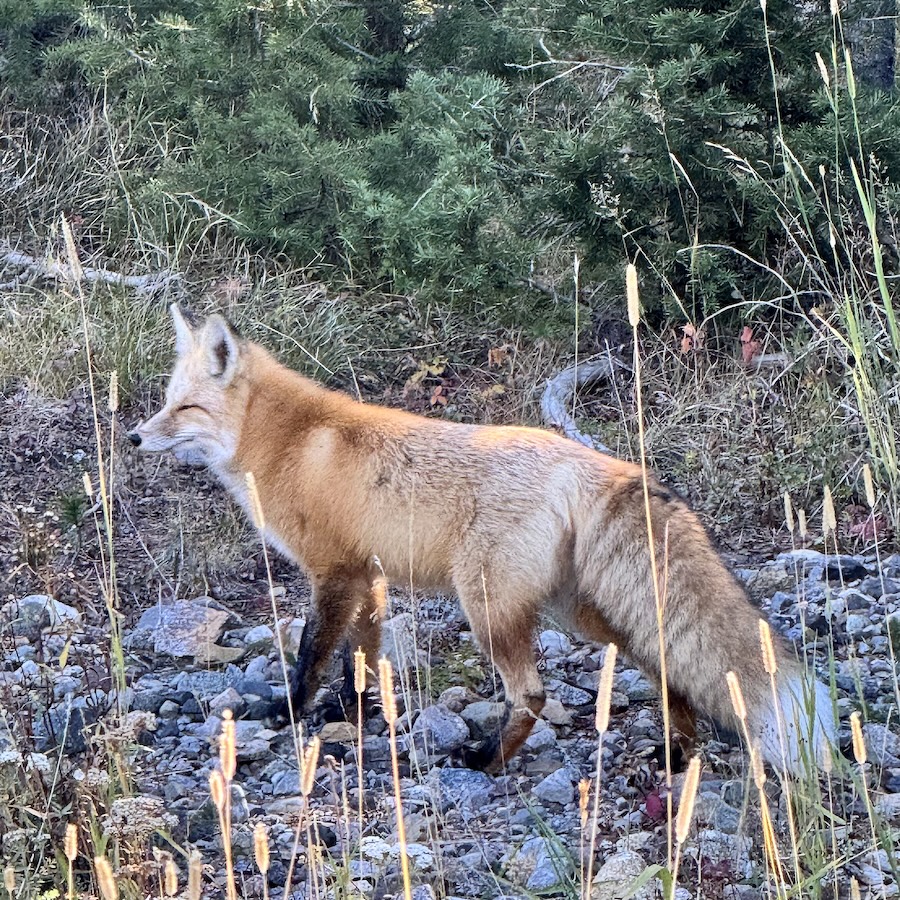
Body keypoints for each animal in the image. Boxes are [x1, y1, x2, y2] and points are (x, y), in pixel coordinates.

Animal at [129, 305, 836, 774]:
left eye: (185, 409)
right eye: (165, 401)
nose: (134, 437)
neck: (289, 443)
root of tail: (596, 463)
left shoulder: (334, 572)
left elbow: (311, 654)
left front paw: (291, 714)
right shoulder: (369, 576)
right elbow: (363, 656)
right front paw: (352, 714)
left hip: (488, 606)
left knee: (533, 693)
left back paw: (486, 760)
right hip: (584, 613)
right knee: (669, 672)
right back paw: (676, 755)